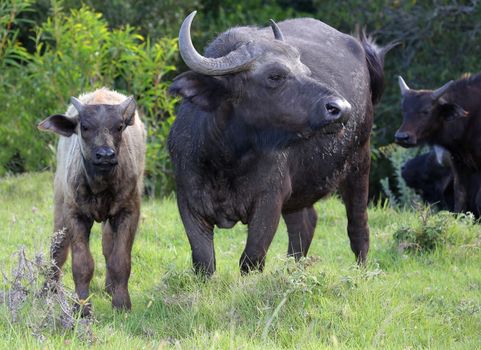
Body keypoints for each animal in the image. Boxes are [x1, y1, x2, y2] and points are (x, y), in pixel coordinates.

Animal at [167, 11, 392, 276]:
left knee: (358, 226)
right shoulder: (188, 204)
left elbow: (251, 259)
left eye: (306, 70)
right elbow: (204, 262)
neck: (226, 159)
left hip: (359, 161)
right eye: (275, 75)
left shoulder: (269, 201)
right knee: (304, 224)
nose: (341, 108)